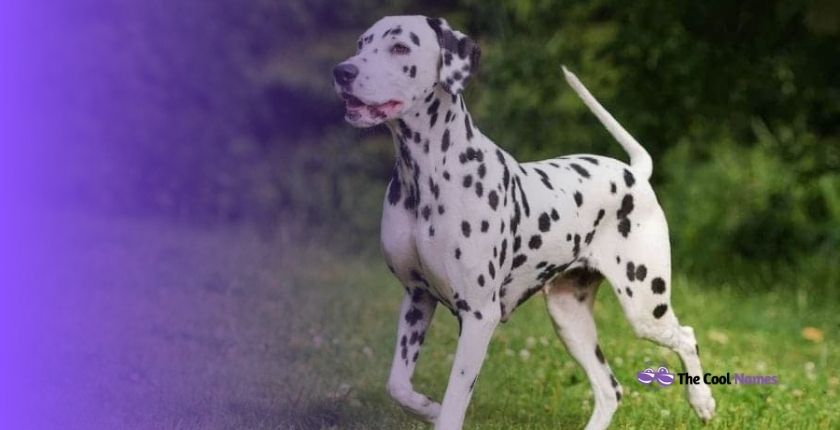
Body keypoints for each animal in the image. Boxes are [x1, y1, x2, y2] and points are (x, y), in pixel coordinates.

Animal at [334, 15, 716, 430]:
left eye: (400, 47)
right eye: (362, 43)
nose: (342, 71)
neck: (426, 176)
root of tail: (635, 173)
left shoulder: (478, 317)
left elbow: (455, 402)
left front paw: (440, 411)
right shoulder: (417, 297)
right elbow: (398, 386)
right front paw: (427, 407)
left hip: (645, 307)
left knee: (686, 336)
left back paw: (702, 401)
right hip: (569, 319)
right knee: (610, 389)